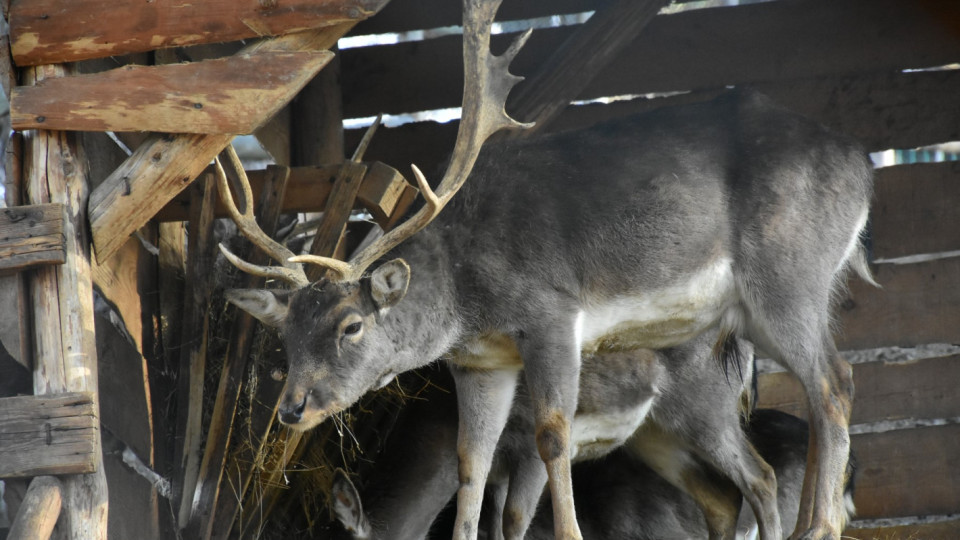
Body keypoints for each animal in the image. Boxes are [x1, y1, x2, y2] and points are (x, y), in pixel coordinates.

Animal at [330, 334, 780, 540]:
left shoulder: (528, 448)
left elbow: (514, 522)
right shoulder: (497, 472)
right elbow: (491, 525)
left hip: (707, 409)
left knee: (760, 477)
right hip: (656, 436)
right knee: (721, 498)